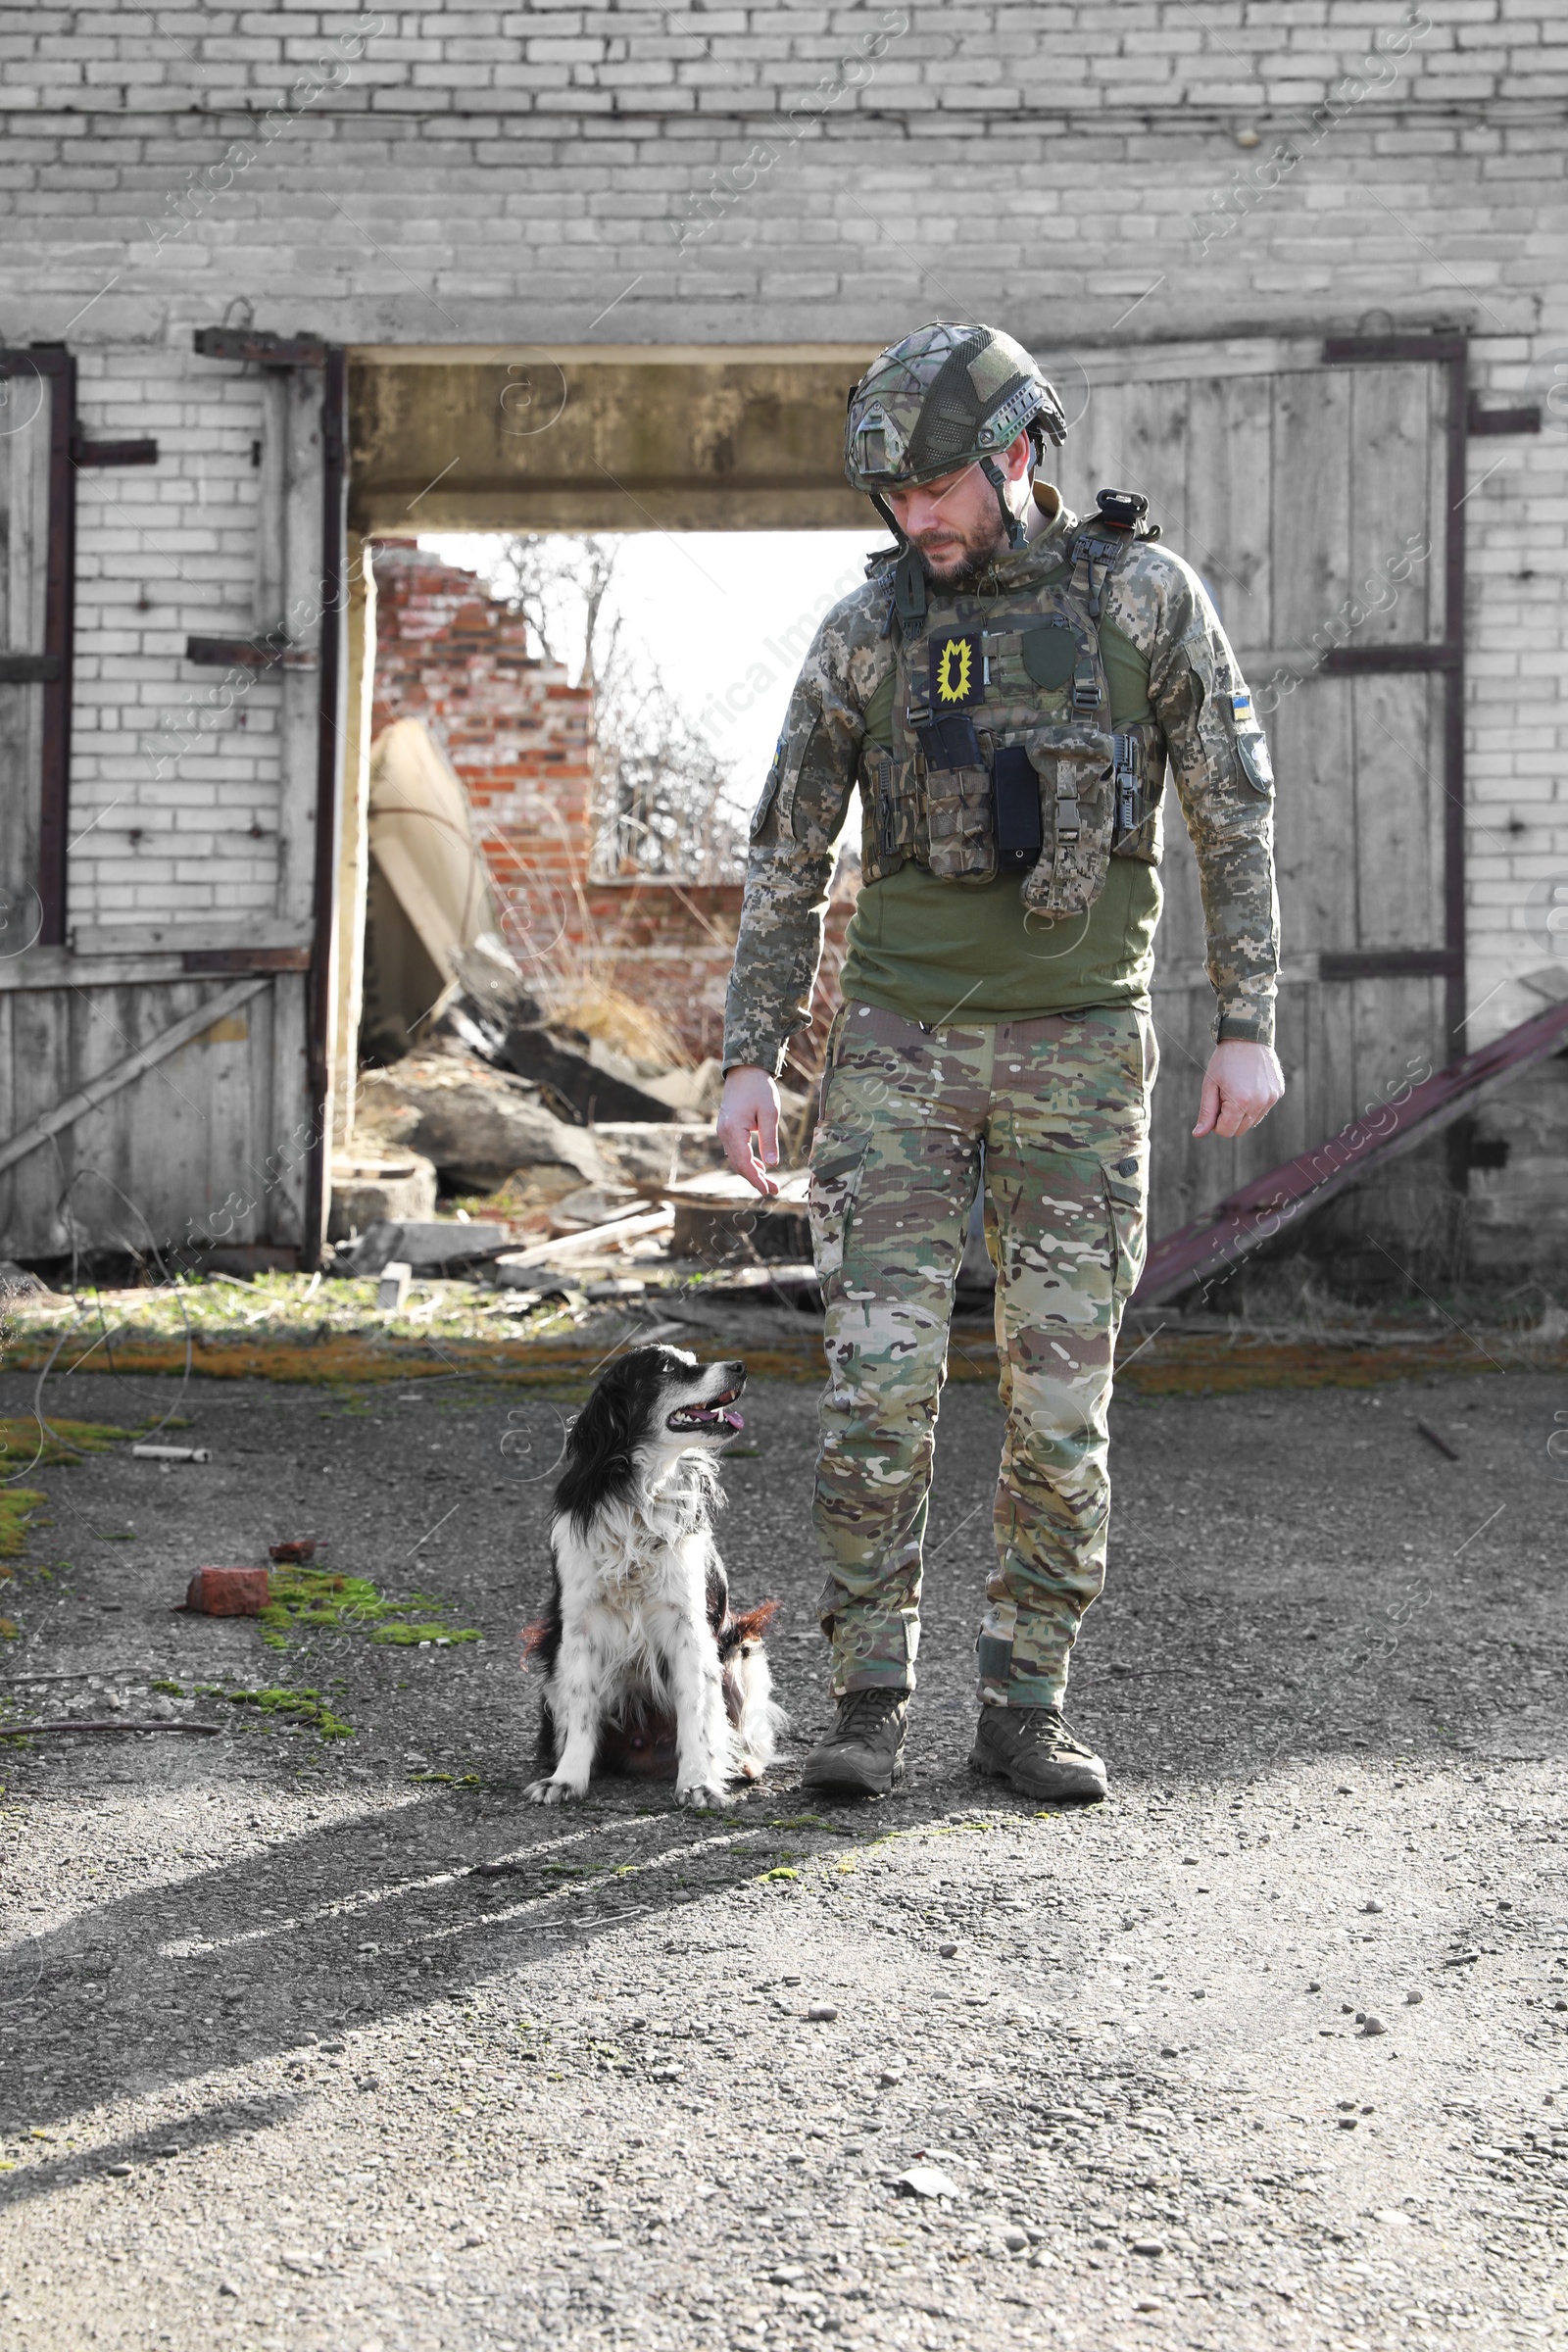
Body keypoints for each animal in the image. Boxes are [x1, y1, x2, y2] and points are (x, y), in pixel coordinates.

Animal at [523, 1354, 780, 1806]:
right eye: (665, 1368)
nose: (739, 1365)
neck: (642, 1490)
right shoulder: (578, 1628)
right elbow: (580, 1708)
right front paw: (566, 1779)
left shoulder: (689, 1626)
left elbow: (697, 1710)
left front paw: (698, 1782)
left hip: (741, 1647)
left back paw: (743, 1763)